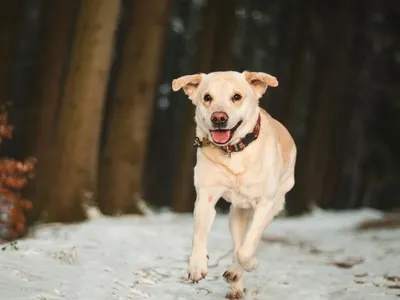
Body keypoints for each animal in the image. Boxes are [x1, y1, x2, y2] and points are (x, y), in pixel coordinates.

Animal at [172, 71, 296, 298]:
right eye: (207, 97)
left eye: (236, 97)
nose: (219, 118)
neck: (234, 151)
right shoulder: (205, 198)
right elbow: (199, 235)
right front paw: (196, 266)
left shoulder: (264, 203)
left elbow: (247, 249)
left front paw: (250, 263)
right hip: (236, 214)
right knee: (238, 241)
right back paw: (236, 283)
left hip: (275, 204)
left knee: (249, 242)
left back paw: (236, 271)